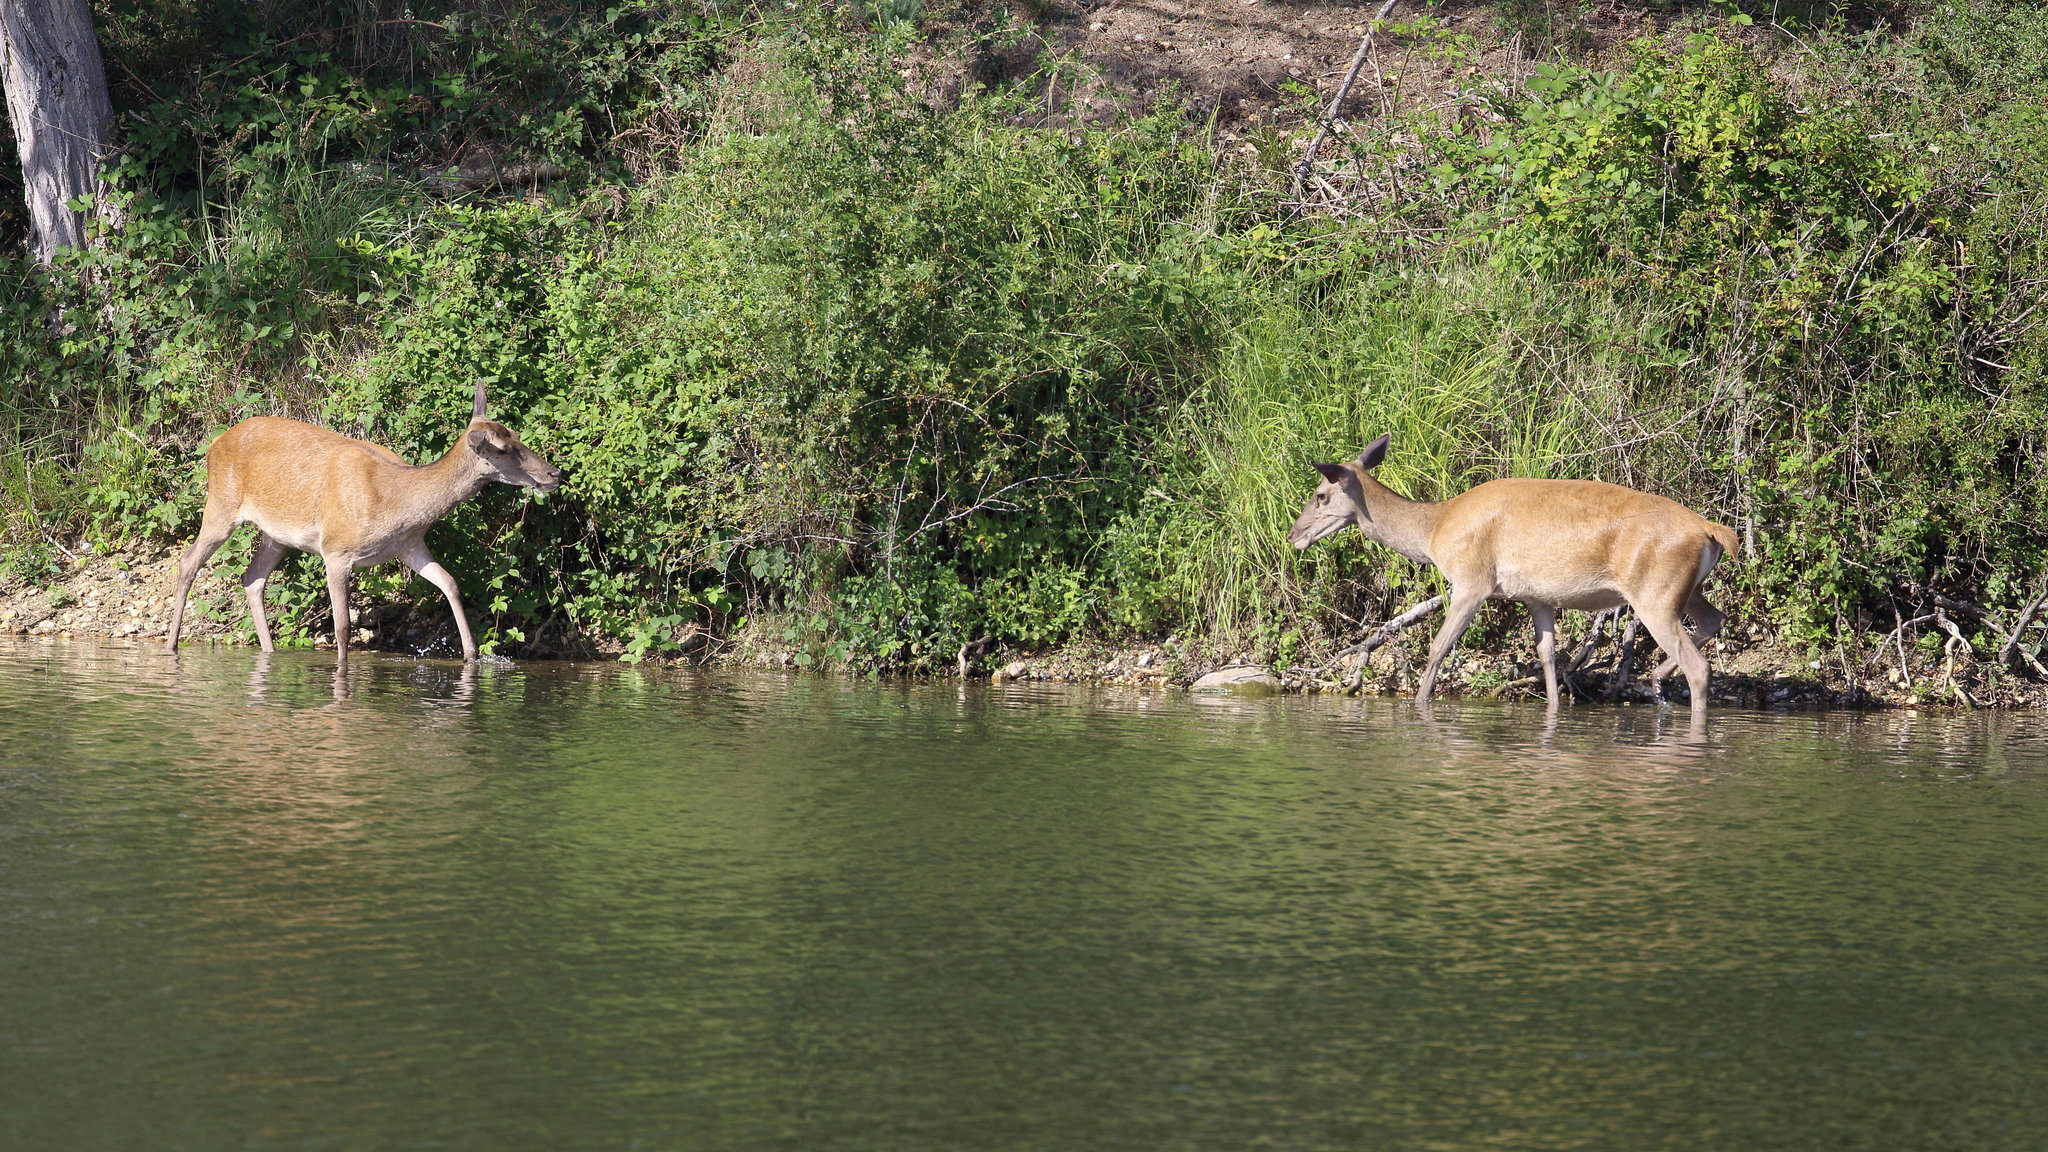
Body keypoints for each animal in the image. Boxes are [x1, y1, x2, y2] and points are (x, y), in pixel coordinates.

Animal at [165, 381, 561, 660]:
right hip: (221, 504)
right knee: (188, 561)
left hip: (276, 534)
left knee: (252, 577)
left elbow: (450, 582)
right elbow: (342, 627)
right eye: (504, 449)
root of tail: (214, 444)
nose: (554, 473)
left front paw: (471, 654)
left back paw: (269, 651)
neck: (397, 502)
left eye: (517, 436)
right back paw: (171, 645)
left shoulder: (409, 545)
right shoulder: (336, 550)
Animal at [1286, 434, 1736, 713]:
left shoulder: (1472, 580)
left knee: (1699, 666)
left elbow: (1437, 649)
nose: (1293, 535)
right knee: (1715, 619)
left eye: (1320, 495)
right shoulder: (1537, 597)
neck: (1434, 530)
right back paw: (1651, 678)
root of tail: (1713, 531)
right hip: (1683, 589)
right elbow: (1548, 659)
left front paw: (1419, 705)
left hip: (1653, 589)